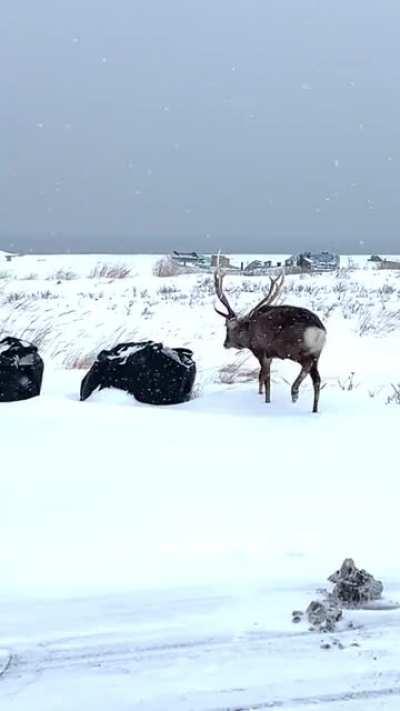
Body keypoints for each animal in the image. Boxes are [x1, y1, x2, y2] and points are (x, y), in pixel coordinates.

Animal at [214, 262, 327, 412]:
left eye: (227, 327)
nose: (225, 343)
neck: (249, 335)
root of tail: (320, 330)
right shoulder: (270, 356)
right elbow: (261, 376)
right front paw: (260, 393)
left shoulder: (262, 352)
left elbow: (266, 377)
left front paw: (266, 400)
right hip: (317, 354)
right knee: (317, 379)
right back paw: (314, 409)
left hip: (296, 350)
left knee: (307, 366)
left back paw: (294, 392)